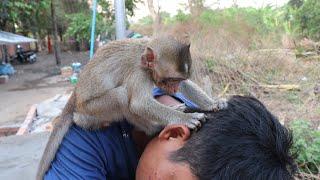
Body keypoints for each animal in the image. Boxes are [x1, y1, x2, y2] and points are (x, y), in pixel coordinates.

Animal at [37, 35, 228, 179]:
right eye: (171, 80)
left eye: (178, 80)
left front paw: (212, 103)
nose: (174, 89)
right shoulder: (138, 72)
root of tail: (75, 95)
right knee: (122, 97)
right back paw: (154, 128)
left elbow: (186, 87)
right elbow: (138, 103)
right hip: (91, 108)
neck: (144, 56)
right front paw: (186, 118)